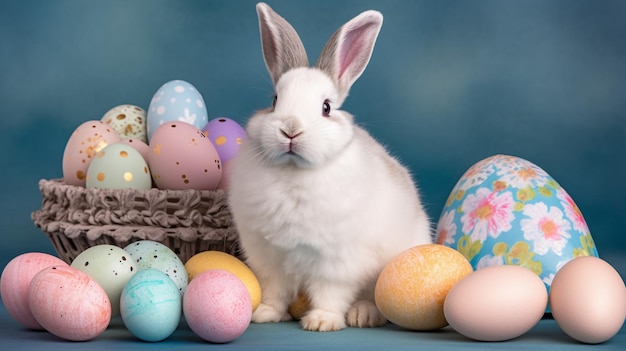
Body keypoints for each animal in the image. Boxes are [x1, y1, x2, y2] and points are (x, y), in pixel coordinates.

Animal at [227, 3, 432, 332]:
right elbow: (275, 290)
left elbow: (330, 292)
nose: (290, 130)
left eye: (326, 107)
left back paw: (363, 315)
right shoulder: (271, 260)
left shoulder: (336, 263)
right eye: (274, 101)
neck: (293, 172)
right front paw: (266, 314)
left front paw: (322, 321)